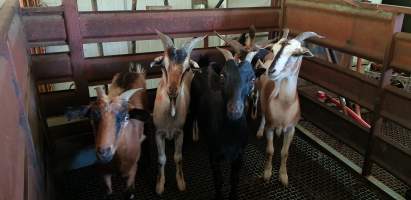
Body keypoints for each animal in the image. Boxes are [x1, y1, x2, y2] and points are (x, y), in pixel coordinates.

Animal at [89, 66, 150, 199]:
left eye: (125, 117)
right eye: (94, 116)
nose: (104, 152)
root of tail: (132, 71)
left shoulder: (132, 170)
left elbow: (129, 192)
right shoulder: (104, 172)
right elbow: (108, 191)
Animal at [151, 30, 206, 195]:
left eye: (186, 69)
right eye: (163, 65)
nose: (172, 90)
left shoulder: (179, 133)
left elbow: (178, 157)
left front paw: (181, 183)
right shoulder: (158, 133)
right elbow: (161, 159)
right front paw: (160, 185)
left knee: (194, 116)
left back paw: (195, 135)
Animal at [192, 41, 262, 198]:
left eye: (252, 79)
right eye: (223, 76)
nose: (234, 110)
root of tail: (204, 67)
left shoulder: (239, 156)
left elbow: (234, 180)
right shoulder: (214, 157)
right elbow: (219, 181)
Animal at [254, 30, 326, 185]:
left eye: (296, 54)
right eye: (273, 49)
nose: (271, 71)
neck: (285, 106)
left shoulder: (291, 129)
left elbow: (285, 152)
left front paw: (283, 176)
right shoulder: (270, 127)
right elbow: (270, 151)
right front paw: (267, 174)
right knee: (262, 114)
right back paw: (259, 131)